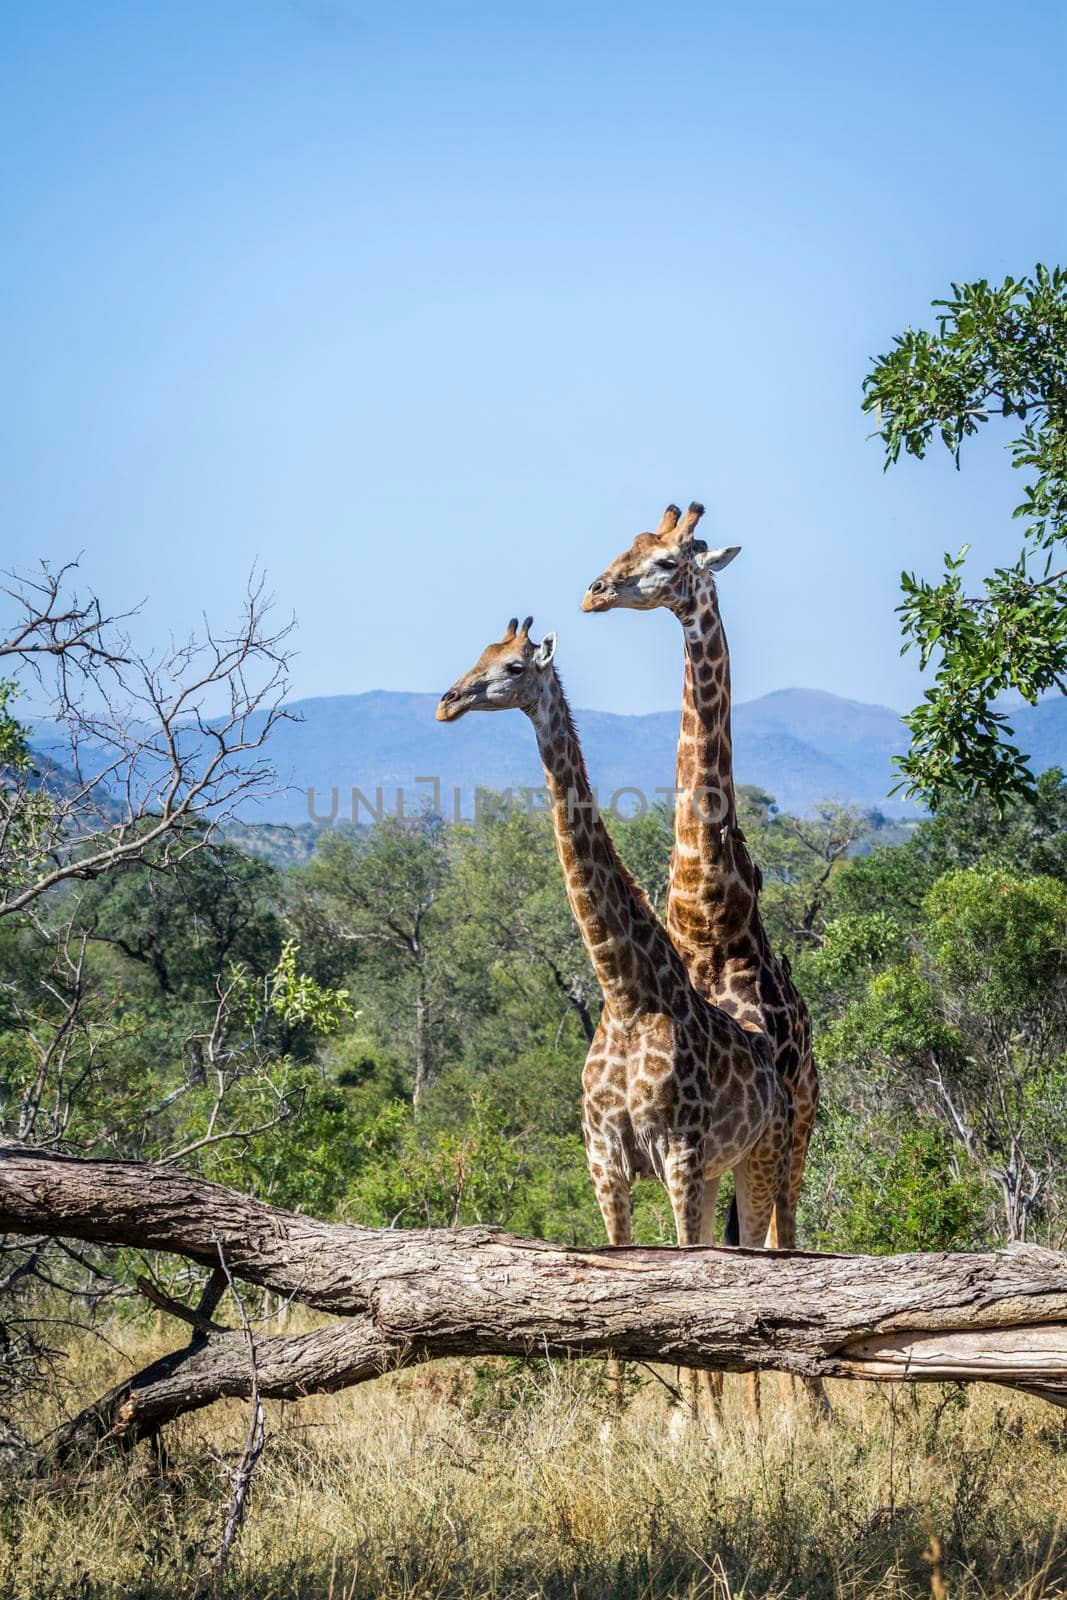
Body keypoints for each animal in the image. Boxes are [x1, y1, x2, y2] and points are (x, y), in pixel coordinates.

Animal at [435, 617, 793, 1420]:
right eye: (474, 656)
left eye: (510, 667)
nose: (446, 702)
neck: (629, 995)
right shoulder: (606, 1159)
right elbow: (615, 1289)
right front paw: (617, 1422)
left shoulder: (680, 1156)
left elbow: (692, 1289)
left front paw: (700, 1427)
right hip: (722, 1169)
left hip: (761, 1156)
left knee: (758, 1260)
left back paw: (756, 1422)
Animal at [579, 502, 831, 1414]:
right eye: (627, 545)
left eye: (665, 561)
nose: (594, 591)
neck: (707, 911)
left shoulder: (752, 1124)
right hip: (744, 1151)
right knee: (748, 1250)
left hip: (794, 1130)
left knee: (781, 1244)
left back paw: (802, 1412)